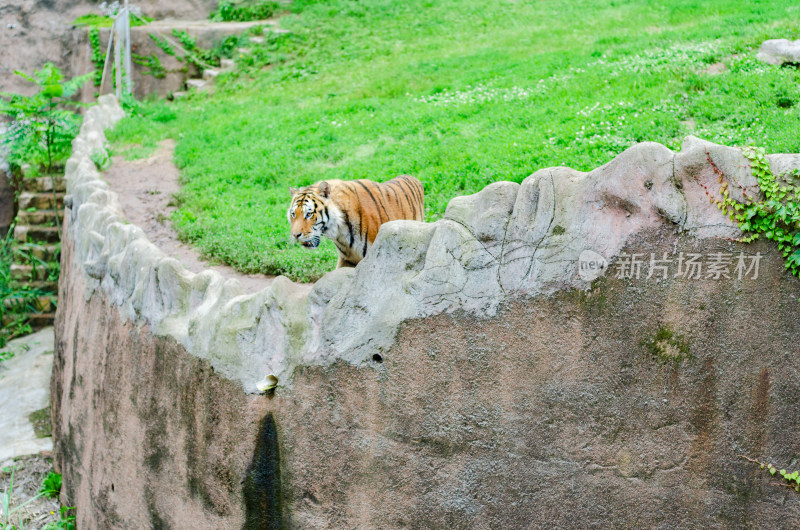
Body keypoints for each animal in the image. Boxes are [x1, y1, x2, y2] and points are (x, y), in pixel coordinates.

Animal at [288, 174, 424, 266]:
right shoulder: (347, 259)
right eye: (293, 214)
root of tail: (412, 177)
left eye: (309, 214)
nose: (295, 235)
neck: (340, 231)